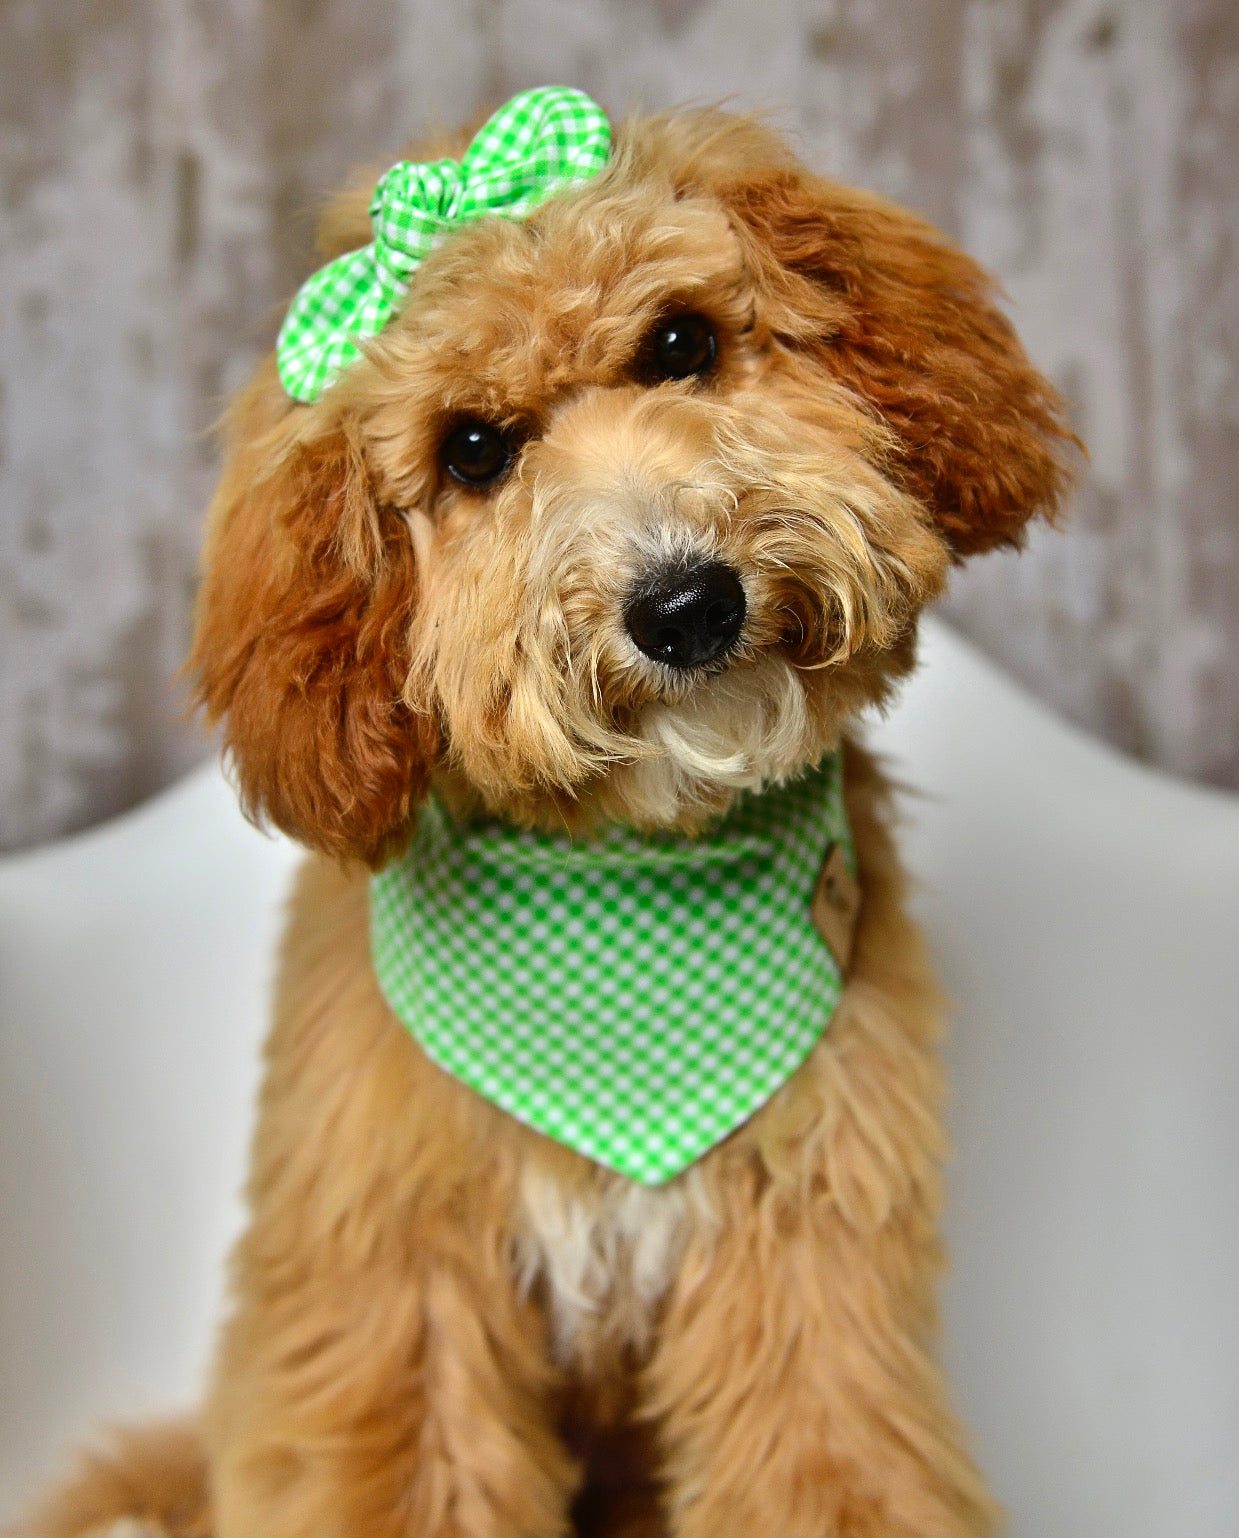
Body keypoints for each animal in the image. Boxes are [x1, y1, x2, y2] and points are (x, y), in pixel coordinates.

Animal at [26, 87, 1076, 1538]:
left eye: (681, 343)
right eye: (473, 449)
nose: (684, 604)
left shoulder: (807, 1255)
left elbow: (823, 1462)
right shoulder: (400, 1277)